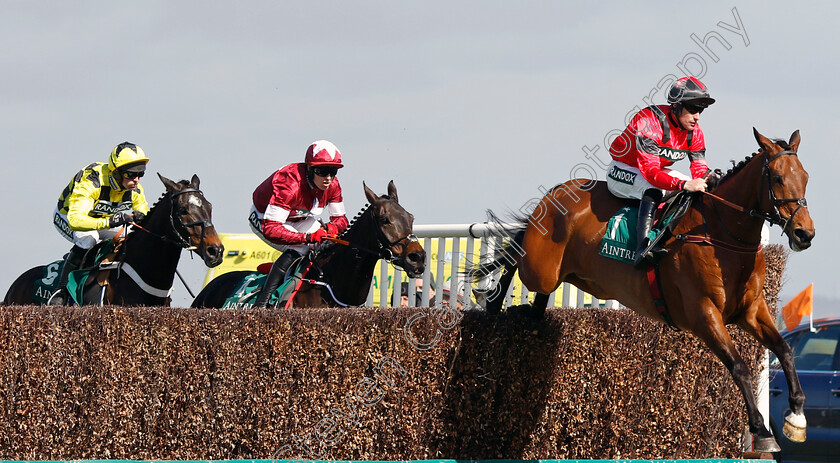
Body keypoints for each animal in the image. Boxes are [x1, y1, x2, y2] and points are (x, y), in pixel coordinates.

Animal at [480, 130, 812, 454]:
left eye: (805, 176)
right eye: (778, 178)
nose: (804, 233)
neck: (720, 235)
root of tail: (558, 191)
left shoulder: (751, 310)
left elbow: (784, 350)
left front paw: (796, 418)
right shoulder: (703, 314)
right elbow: (740, 367)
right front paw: (761, 429)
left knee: (535, 294)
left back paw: (525, 312)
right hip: (540, 270)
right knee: (516, 256)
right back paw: (493, 302)